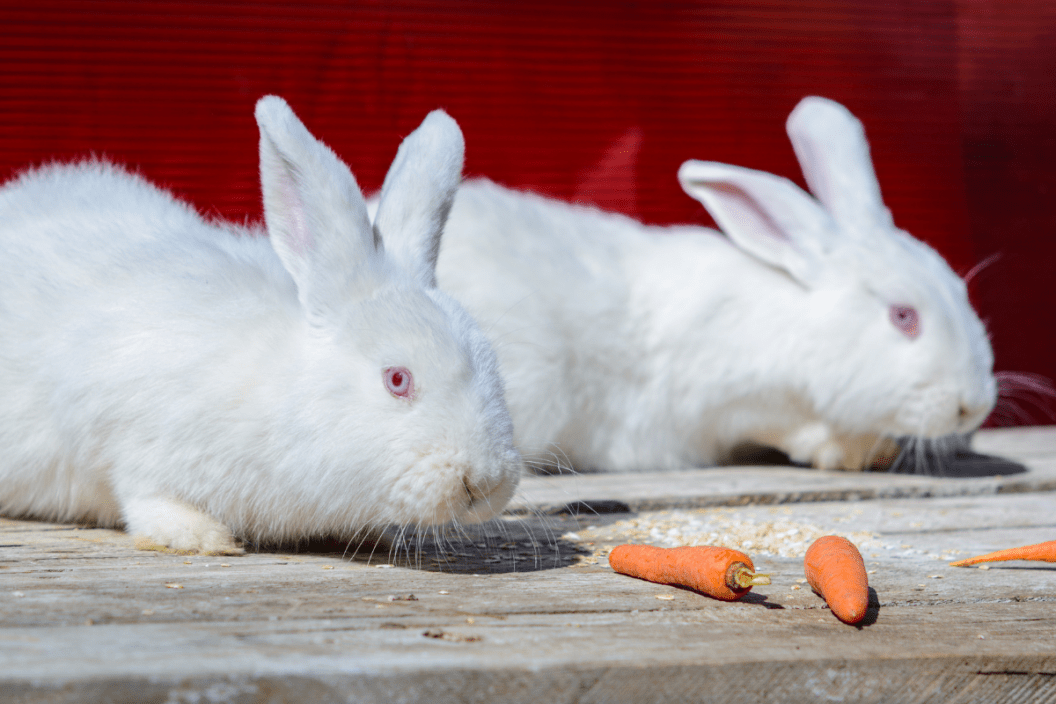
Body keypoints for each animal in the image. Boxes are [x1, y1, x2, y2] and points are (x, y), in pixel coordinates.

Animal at [0, 96, 522, 554]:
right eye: (397, 380)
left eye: (493, 365)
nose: (485, 482)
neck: (287, 390)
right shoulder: (132, 438)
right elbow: (145, 497)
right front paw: (202, 537)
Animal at [434, 96, 997, 473]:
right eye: (904, 317)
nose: (973, 407)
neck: (796, 318)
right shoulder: (730, 400)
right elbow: (790, 429)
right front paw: (849, 453)